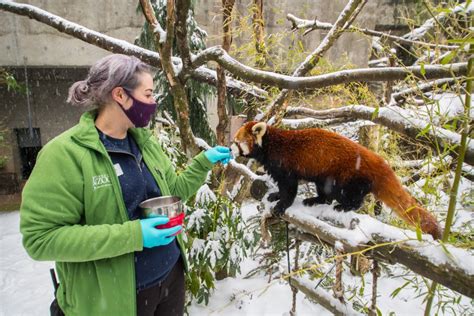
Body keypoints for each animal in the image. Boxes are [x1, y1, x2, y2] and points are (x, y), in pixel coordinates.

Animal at [231, 121, 442, 239]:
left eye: (236, 142)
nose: (230, 148)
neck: (270, 144)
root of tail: (377, 161)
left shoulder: (285, 165)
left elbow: (289, 188)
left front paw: (282, 204)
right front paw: (275, 195)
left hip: (348, 176)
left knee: (350, 194)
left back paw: (346, 205)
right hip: (325, 175)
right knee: (324, 190)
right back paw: (316, 200)